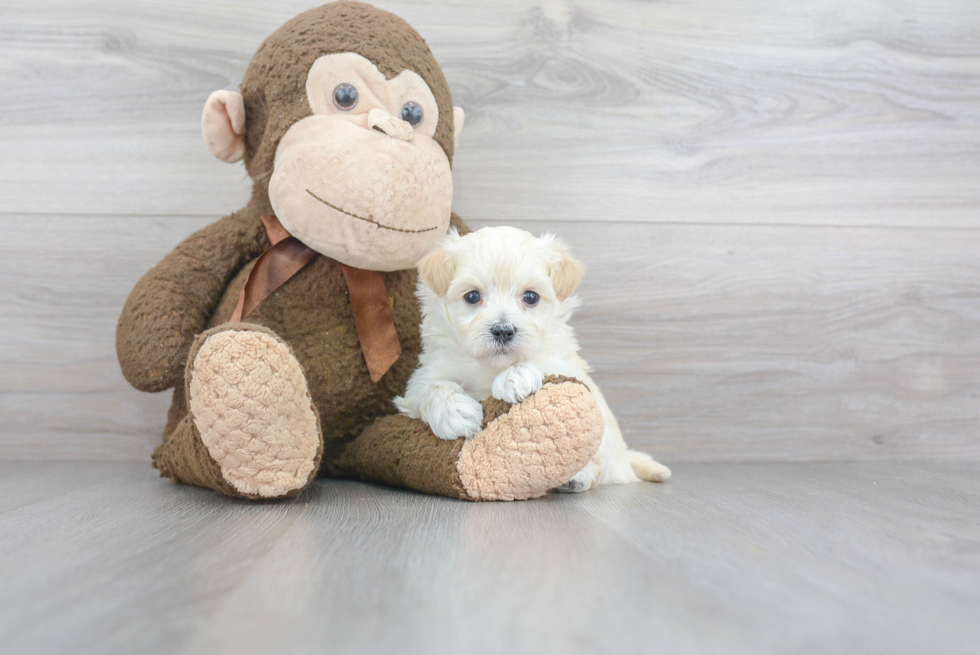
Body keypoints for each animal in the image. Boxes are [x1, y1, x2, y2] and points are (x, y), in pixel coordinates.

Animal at [394, 226, 668, 492]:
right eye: (472, 296)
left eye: (531, 297)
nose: (503, 330)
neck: (492, 366)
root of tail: (625, 463)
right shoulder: (427, 374)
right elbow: (433, 386)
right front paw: (455, 413)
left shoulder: (565, 363)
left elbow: (542, 362)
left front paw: (516, 377)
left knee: (597, 466)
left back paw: (576, 477)